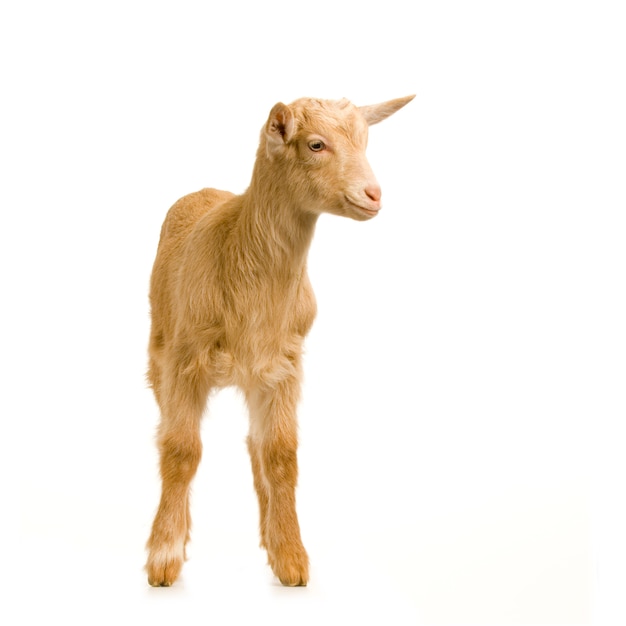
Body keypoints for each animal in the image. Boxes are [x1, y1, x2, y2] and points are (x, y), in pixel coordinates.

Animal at [146, 92, 414, 584]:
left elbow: (280, 455)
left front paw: (291, 558)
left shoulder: (283, 364)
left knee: (256, 445)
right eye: (315, 144)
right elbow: (181, 450)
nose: (374, 195)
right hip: (157, 348)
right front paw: (164, 557)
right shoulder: (184, 359)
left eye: (365, 141)